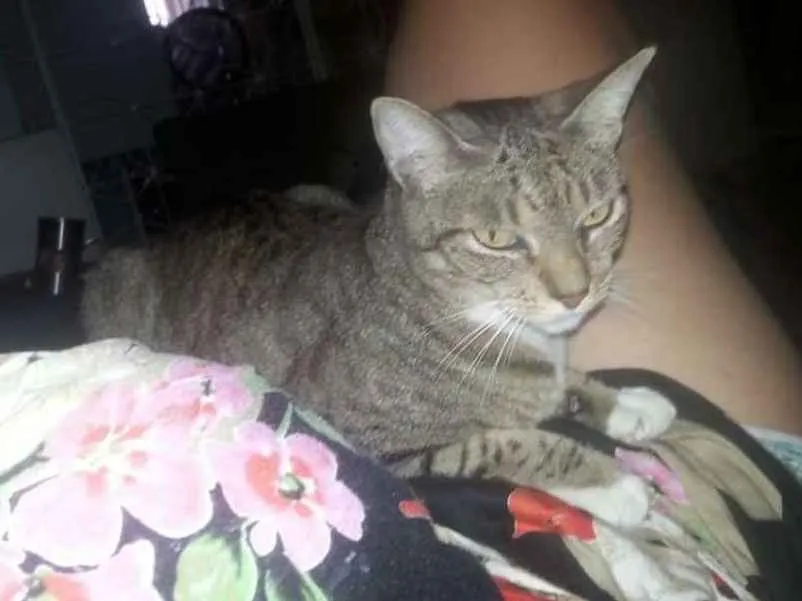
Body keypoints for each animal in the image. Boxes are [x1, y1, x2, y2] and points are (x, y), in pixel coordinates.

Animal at [82, 47, 675, 501]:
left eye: (597, 216)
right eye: (495, 239)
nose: (577, 294)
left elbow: (563, 385)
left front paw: (626, 403)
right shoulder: (372, 443)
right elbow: (507, 442)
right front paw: (616, 484)